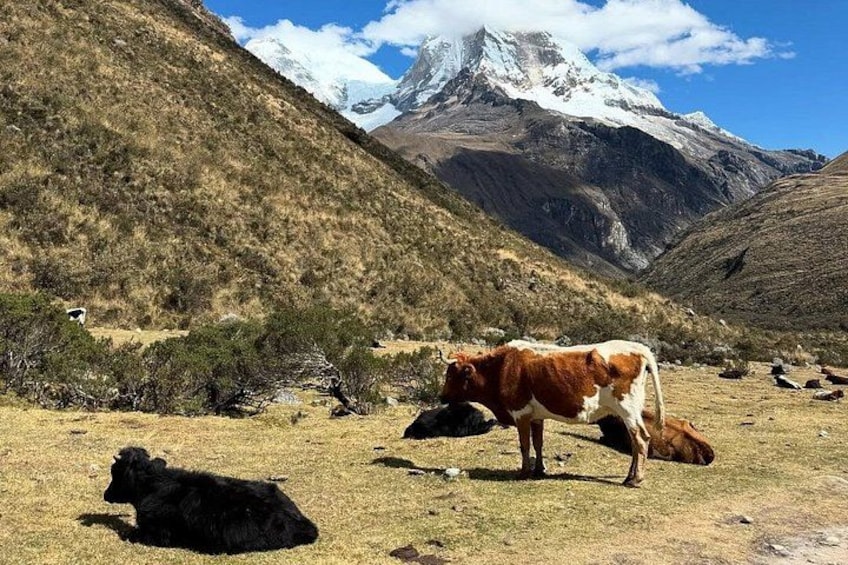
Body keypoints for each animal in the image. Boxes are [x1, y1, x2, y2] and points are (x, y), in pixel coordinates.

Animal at [104, 447, 318, 554]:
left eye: (115, 472)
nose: (106, 494)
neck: (151, 486)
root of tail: (305, 525)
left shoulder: (156, 534)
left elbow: (131, 534)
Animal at [440, 343, 665, 487]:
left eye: (450, 375)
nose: (442, 396)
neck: (502, 367)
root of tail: (639, 348)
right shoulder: (536, 416)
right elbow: (538, 443)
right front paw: (540, 469)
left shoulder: (520, 413)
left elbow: (525, 444)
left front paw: (524, 472)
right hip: (630, 412)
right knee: (635, 443)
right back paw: (629, 477)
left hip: (627, 408)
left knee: (641, 439)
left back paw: (636, 480)